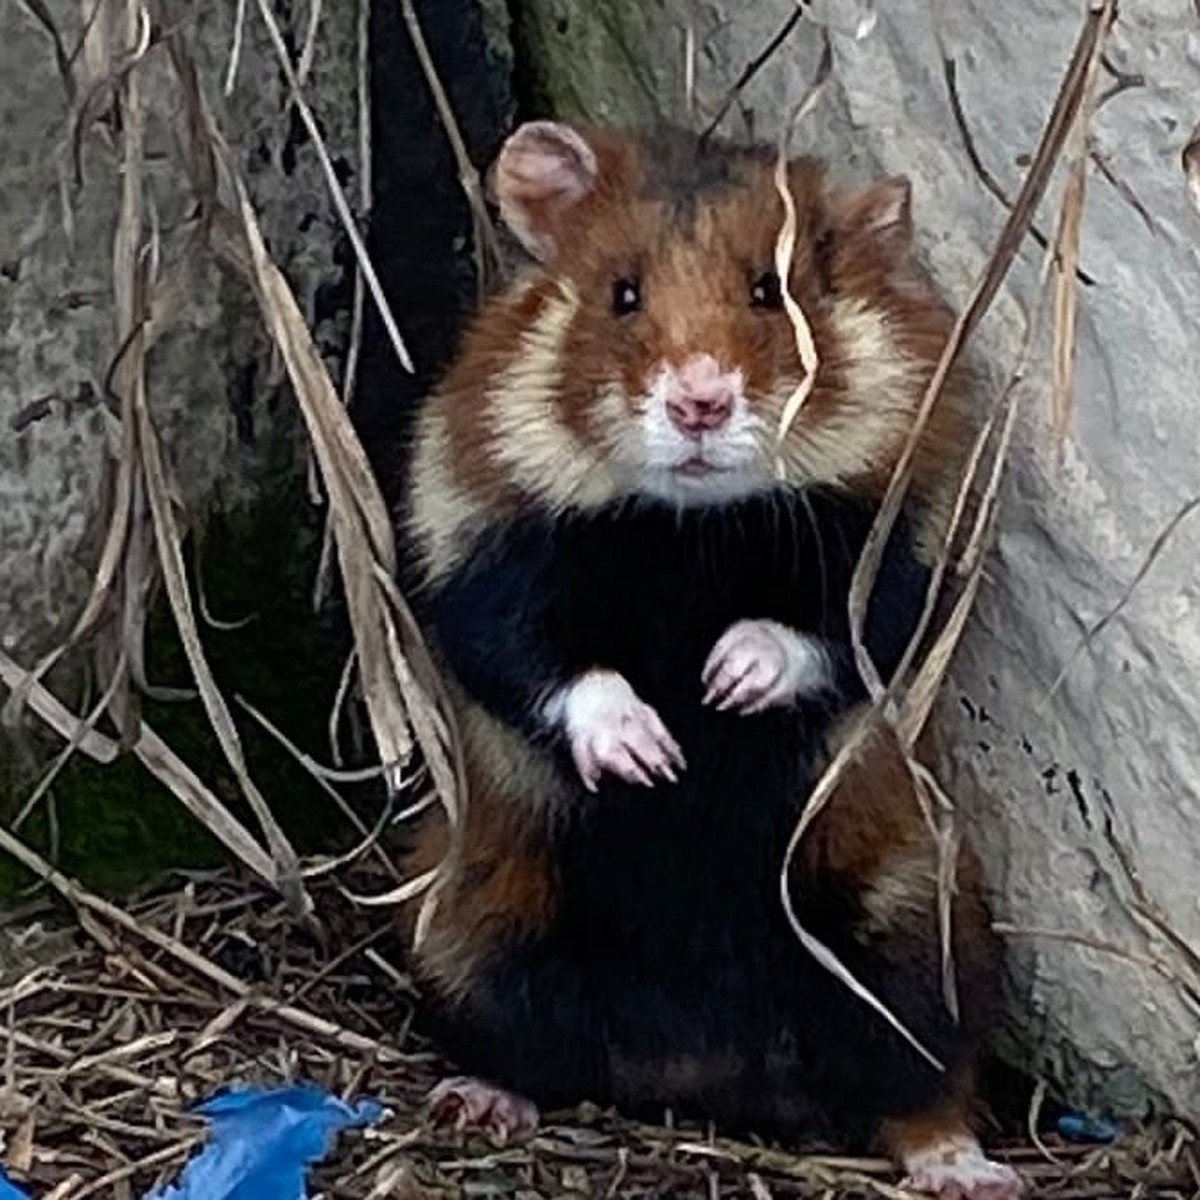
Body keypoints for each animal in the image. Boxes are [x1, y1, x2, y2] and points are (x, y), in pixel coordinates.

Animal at [393, 114, 1022, 1200]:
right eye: (622, 294)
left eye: (768, 290)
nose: (699, 404)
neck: (688, 526)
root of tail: (699, 1067)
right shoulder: (474, 536)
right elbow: (537, 659)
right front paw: (653, 756)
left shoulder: (907, 536)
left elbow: (830, 630)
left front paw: (726, 683)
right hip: (480, 929)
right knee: (527, 1047)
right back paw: (476, 1104)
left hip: (907, 937)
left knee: (924, 1084)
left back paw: (971, 1171)